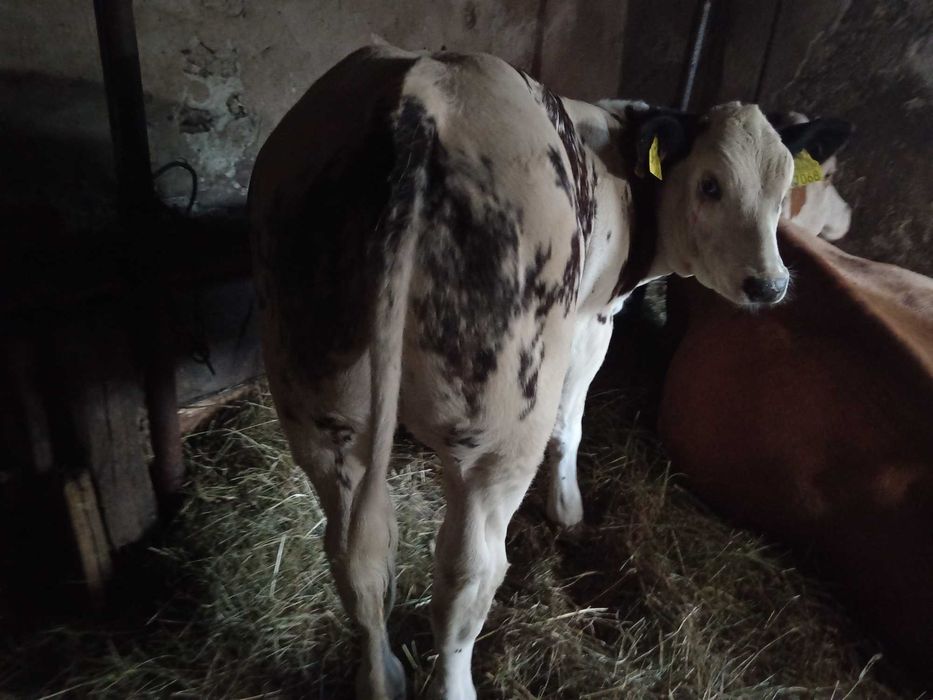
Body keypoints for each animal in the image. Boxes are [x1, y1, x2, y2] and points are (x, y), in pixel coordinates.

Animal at [248, 44, 810, 699]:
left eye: (783, 191)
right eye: (711, 184)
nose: (769, 284)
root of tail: (417, 94)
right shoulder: (594, 319)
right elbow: (572, 421)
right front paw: (568, 508)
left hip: (320, 401)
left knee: (357, 558)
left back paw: (379, 676)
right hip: (500, 428)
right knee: (467, 577)